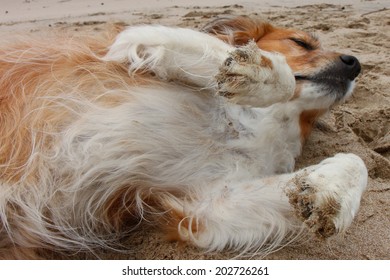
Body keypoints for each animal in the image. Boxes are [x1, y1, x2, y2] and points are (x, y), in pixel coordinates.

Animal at [0, 16, 366, 260]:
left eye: (314, 118)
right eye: (300, 43)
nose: (355, 63)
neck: (242, 124)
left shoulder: (209, 205)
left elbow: (356, 161)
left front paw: (328, 192)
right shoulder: (134, 39)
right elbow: (275, 74)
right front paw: (257, 73)